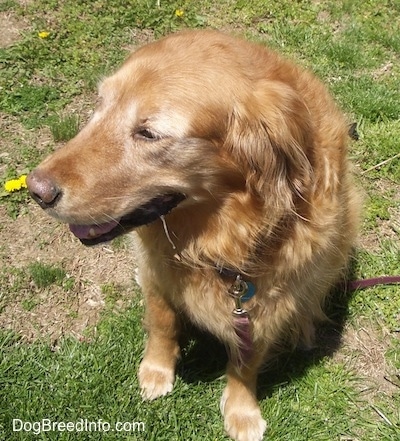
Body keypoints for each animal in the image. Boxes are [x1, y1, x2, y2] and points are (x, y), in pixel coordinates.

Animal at [27, 29, 360, 438]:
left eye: (149, 133)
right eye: (100, 105)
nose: (35, 189)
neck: (218, 239)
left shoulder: (265, 304)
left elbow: (246, 361)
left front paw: (242, 411)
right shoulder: (157, 272)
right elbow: (162, 323)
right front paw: (156, 371)